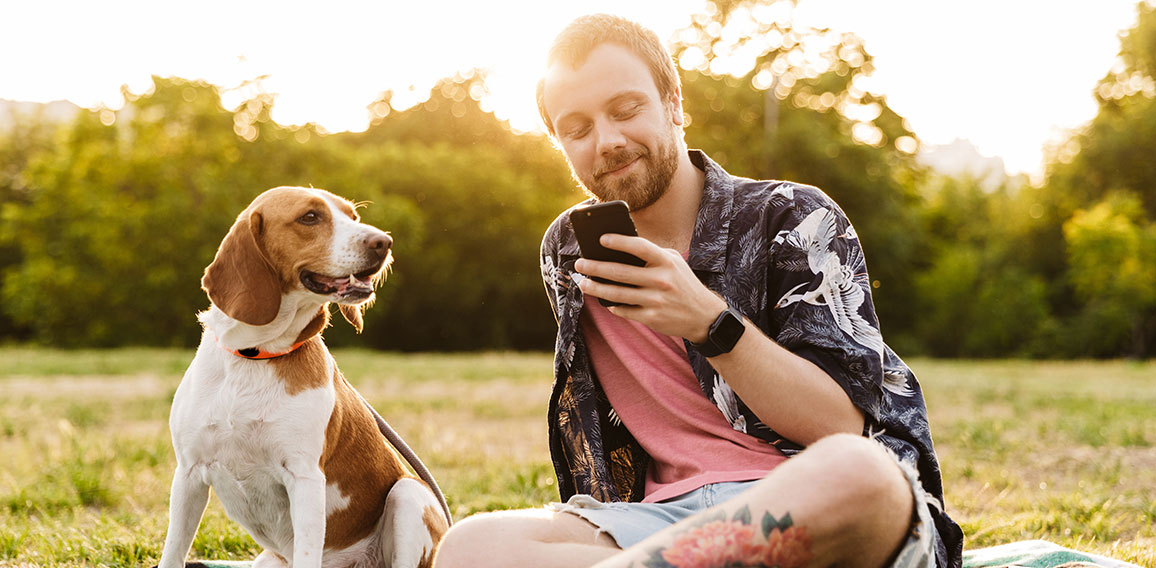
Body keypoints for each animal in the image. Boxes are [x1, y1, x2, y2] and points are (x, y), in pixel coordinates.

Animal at [153, 187, 441, 568]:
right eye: (310, 217)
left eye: (353, 216)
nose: (384, 242)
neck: (255, 356)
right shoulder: (188, 474)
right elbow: (173, 553)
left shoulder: (304, 477)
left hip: (408, 494)